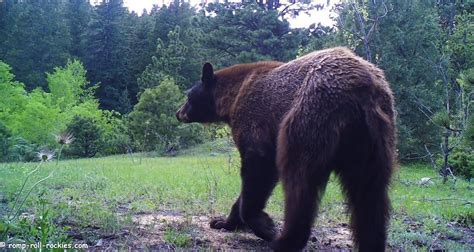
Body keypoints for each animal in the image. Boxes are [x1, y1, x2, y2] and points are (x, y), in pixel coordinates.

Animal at [175, 46, 396, 250]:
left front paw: (265, 226)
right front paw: (223, 221)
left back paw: (284, 241)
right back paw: (371, 243)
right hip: (375, 142)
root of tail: (362, 88)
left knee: (299, 183)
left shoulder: (254, 117)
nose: (178, 113)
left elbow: (259, 165)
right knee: (370, 196)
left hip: (309, 118)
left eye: (188, 96)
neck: (233, 96)